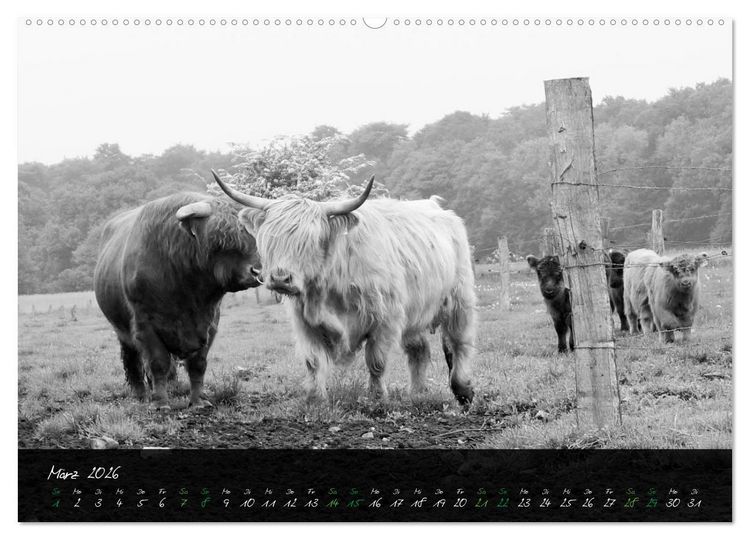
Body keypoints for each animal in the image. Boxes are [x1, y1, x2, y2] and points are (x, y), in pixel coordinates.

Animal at [94, 192, 262, 410]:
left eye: (252, 235)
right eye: (220, 240)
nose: (257, 271)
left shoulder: (209, 323)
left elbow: (198, 364)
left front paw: (198, 400)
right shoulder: (145, 324)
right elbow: (158, 363)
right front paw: (161, 402)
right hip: (121, 329)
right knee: (133, 361)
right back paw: (142, 395)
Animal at [211, 171, 476, 405]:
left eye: (310, 241)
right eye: (270, 239)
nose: (280, 278)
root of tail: (436, 207)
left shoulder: (385, 319)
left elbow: (376, 361)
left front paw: (377, 398)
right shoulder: (305, 322)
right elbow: (314, 362)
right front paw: (315, 399)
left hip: (459, 298)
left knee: (460, 342)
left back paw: (463, 390)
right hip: (416, 310)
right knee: (419, 350)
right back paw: (418, 392)